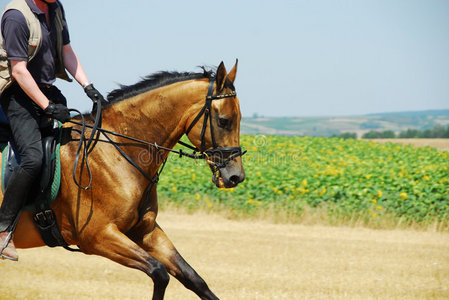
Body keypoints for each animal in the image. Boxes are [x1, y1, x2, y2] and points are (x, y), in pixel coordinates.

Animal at [0, 59, 245, 298]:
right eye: (224, 121)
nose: (236, 177)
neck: (118, 150)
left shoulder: (145, 231)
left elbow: (194, 279)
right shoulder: (98, 236)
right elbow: (159, 273)